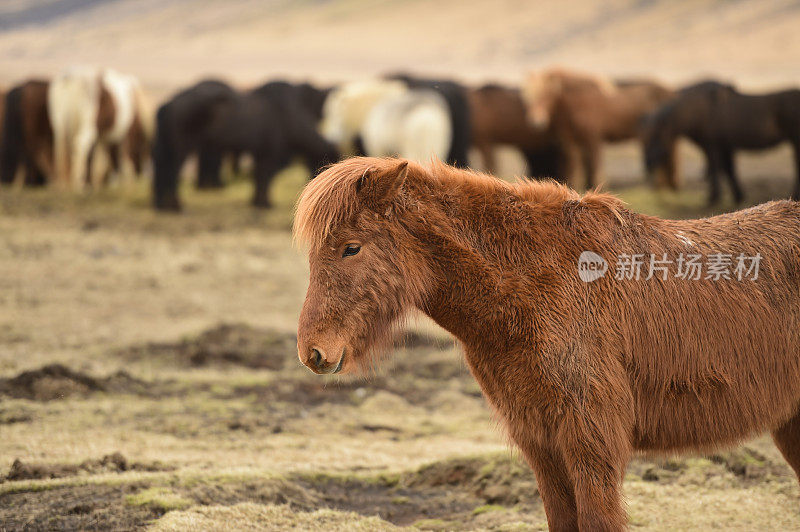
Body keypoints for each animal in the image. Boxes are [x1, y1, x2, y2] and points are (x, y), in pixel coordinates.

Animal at [153, 79, 338, 212]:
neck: (289, 116)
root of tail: (169, 104)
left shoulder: (261, 155)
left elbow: (259, 178)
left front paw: (257, 202)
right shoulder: (271, 155)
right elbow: (264, 178)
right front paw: (265, 203)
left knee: (163, 172)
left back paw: (162, 206)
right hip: (182, 149)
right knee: (172, 173)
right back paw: (176, 206)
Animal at [520, 68, 676, 189]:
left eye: (546, 95)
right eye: (527, 98)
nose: (536, 122)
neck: (576, 101)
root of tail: (669, 91)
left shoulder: (593, 140)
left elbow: (595, 166)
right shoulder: (572, 143)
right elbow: (575, 168)